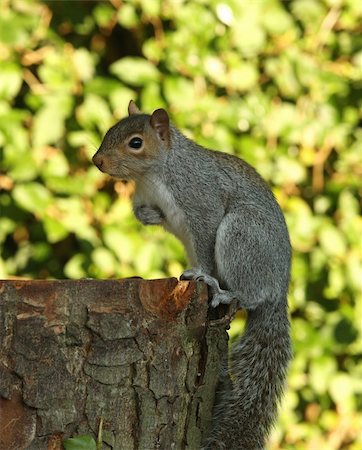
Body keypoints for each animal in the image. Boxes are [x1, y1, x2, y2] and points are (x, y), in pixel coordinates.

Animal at [92, 102, 292, 450]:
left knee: (249, 293)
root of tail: (279, 292)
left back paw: (222, 290)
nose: (97, 161)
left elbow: (205, 242)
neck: (153, 175)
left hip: (243, 235)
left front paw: (201, 274)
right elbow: (147, 214)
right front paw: (148, 214)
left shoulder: (202, 203)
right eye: (109, 131)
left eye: (135, 143)